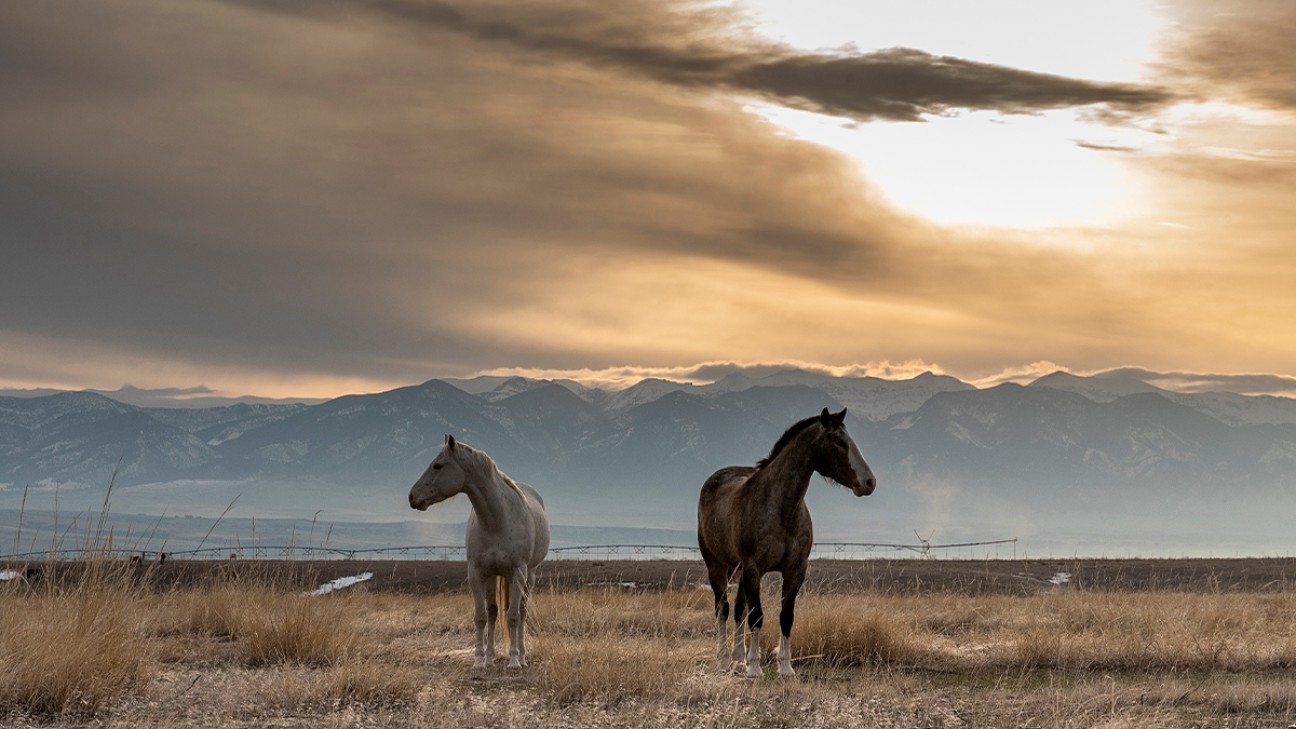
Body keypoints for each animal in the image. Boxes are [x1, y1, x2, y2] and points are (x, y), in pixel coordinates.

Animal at [404, 433, 546, 669]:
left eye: (437, 465)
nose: (412, 496)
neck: (497, 522)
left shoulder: (518, 572)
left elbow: (513, 616)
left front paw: (514, 660)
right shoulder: (477, 572)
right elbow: (481, 616)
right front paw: (479, 660)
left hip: (530, 575)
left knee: (522, 612)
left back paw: (523, 657)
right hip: (493, 575)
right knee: (493, 612)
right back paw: (490, 658)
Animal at [705, 404, 876, 674]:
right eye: (839, 442)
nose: (869, 482)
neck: (782, 508)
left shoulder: (795, 570)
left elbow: (786, 616)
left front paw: (785, 667)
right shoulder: (754, 568)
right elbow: (757, 616)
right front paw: (755, 668)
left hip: (740, 571)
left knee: (738, 609)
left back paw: (738, 659)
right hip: (717, 566)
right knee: (723, 609)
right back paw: (724, 659)